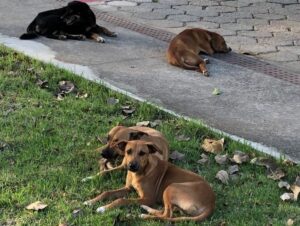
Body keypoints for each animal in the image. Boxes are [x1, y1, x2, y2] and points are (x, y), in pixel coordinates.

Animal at [83, 140, 214, 222]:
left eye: (142, 153)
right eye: (128, 151)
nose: (131, 166)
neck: (140, 172)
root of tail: (211, 204)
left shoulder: (148, 198)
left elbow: (121, 200)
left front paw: (103, 208)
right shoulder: (128, 188)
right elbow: (107, 192)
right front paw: (90, 201)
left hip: (171, 187)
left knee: (167, 216)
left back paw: (140, 215)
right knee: (165, 212)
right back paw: (144, 209)